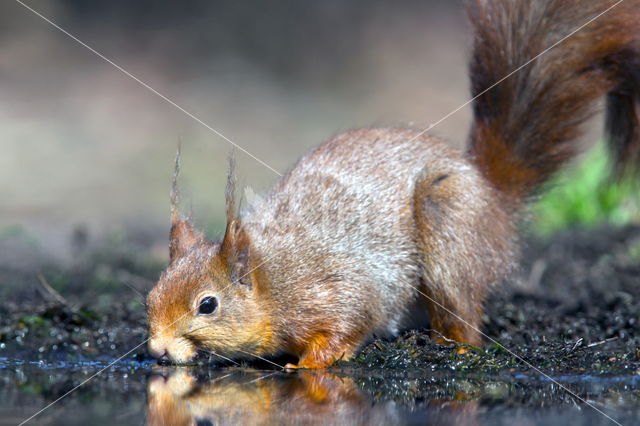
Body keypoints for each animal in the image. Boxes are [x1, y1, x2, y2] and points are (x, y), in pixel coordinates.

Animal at [145, 0, 640, 368]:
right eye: (150, 296)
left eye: (207, 305)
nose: (159, 350)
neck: (273, 280)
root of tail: (492, 195)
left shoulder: (336, 286)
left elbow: (351, 319)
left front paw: (310, 362)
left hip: (447, 221)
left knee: (465, 318)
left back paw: (449, 344)